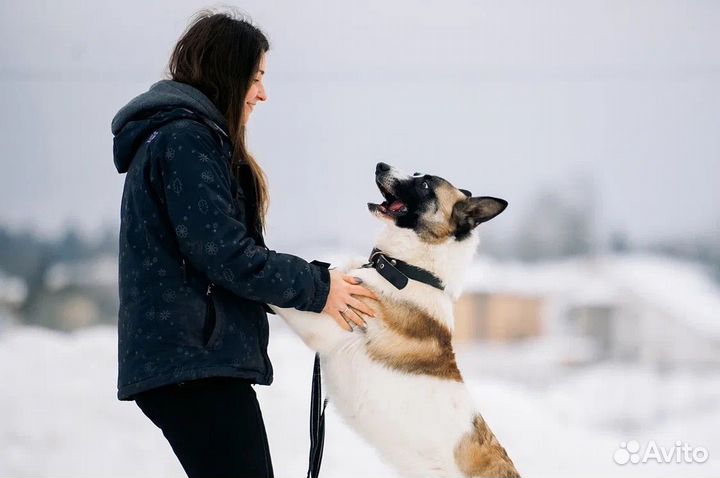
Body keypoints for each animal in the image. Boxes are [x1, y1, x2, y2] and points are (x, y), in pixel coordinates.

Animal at [270, 162, 516, 476]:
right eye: (417, 172)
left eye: (425, 185)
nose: (381, 165)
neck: (407, 270)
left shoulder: (325, 325)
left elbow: (276, 298)